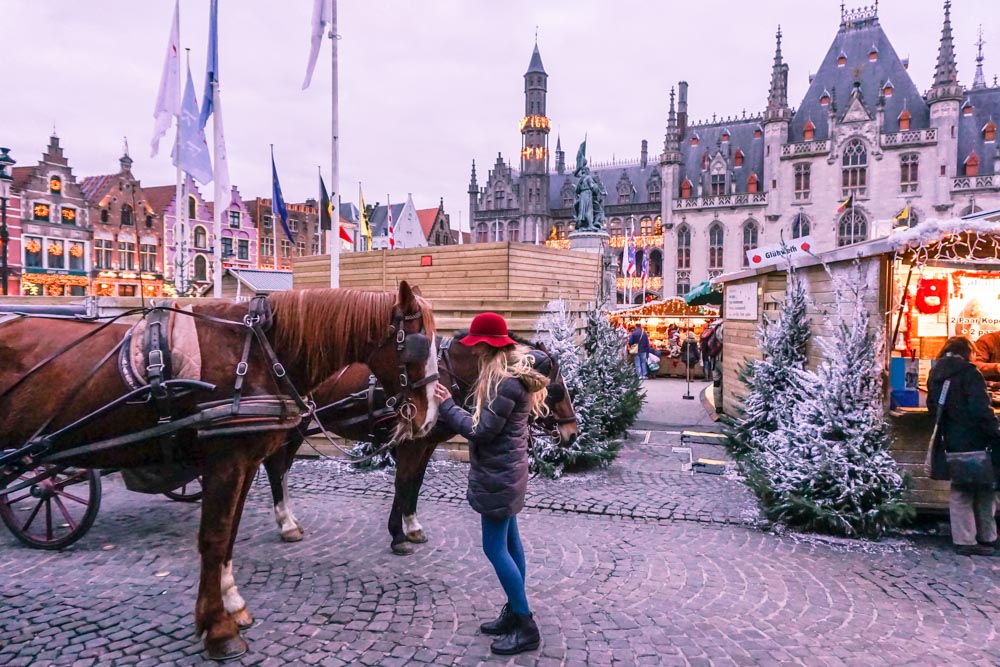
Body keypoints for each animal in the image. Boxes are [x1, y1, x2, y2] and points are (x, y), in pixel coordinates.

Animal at [0, 284, 438, 664]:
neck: (257, 352)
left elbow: (229, 534)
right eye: (419, 342)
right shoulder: (225, 462)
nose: (431, 414)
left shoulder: (242, 461)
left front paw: (233, 606)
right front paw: (218, 630)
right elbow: (213, 538)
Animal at [262, 332, 580, 556]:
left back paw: (289, 519)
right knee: (276, 468)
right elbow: (403, 483)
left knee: (282, 468)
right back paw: (286, 523)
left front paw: (412, 527)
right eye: (555, 387)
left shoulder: (425, 445)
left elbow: (414, 483)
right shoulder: (411, 444)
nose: (572, 432)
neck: (444, 373)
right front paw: (398, 536)